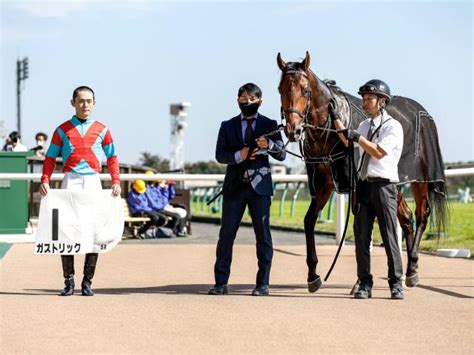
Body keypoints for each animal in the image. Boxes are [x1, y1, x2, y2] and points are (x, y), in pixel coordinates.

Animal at [276, 51, 446, 294]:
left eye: (305, 89)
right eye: (280, 89)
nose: (293, 130)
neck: (328, 130)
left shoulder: (355, 183)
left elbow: (360, 227)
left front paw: (359, 282)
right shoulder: (324, 184)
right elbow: (309, 221)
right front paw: (313, 275)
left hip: (421, 178)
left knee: (422, 214)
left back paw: (412, 268)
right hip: (394, 183)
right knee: (405, 217)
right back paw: (405, 271)